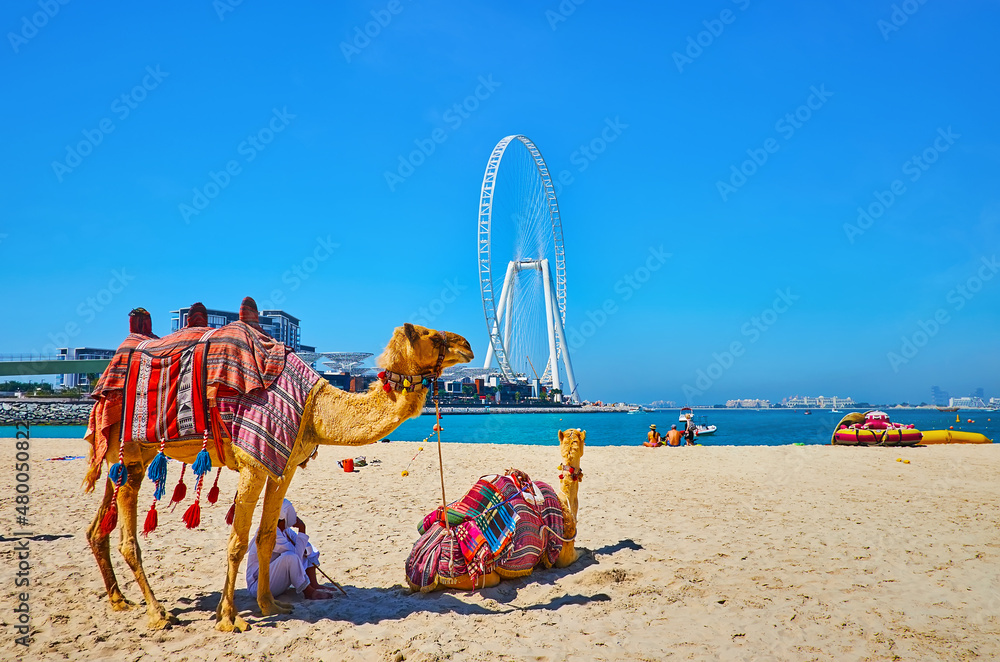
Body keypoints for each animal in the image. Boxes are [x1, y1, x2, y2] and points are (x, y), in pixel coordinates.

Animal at [83, 320, 472, 632]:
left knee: (97, 528)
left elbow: (268, 536)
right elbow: (238, 542)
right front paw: (229, 619)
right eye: (432, 336)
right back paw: (157, 612)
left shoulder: (283, 467)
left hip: (122, 455)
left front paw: (270, 605)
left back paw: (119, 600)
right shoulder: (253, 462)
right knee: (128, 539)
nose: (466, 345)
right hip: (131, 448)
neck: (315, 410)